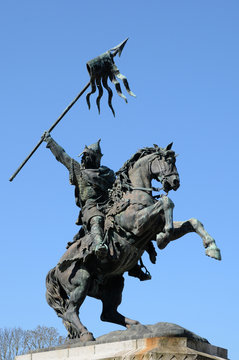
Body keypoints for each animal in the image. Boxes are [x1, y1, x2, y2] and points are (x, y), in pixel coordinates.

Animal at [45, 142, 221, 342]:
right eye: (167, 160)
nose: (175, 182)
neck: (135, 196)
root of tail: (56, 269)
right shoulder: (136, 225)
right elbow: (166, 203)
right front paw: (164, 238)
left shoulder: (153, 229)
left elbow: (192, 222)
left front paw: (212, 248)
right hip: (81, 280)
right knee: (71, 311)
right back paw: (86, 334)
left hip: (114, 283)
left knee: (107, 313)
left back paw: (136, 326)